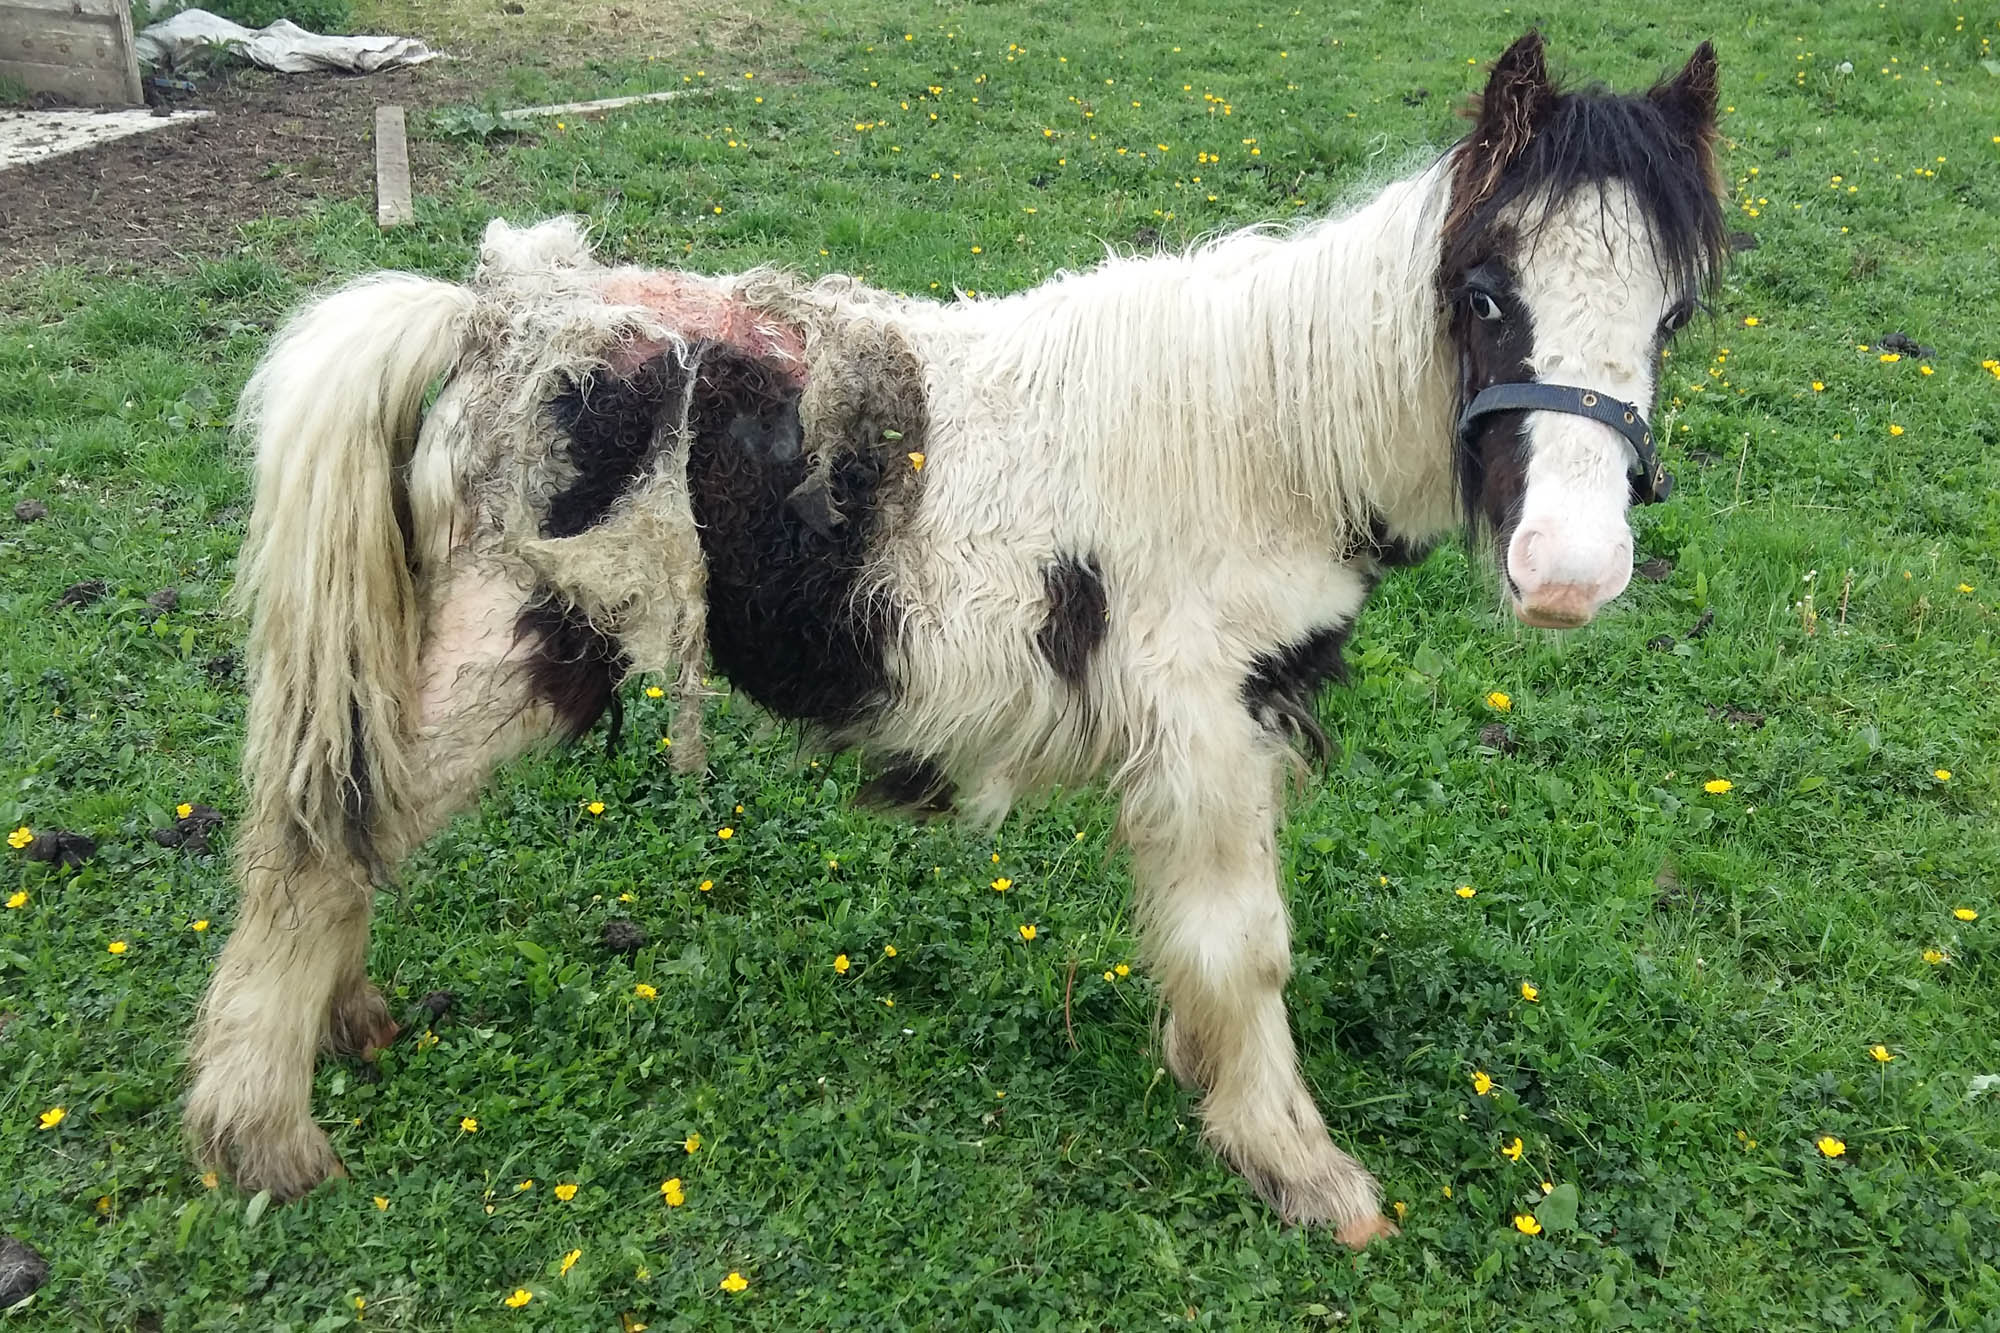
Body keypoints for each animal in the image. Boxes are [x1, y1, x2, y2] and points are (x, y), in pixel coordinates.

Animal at [184, 33, 1720, 1248]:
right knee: (310, 837)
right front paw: (1300, 1167)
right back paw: (262, 1136)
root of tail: (489, 313)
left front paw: (1205, 1072)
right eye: (1483, 294)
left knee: (353, 815)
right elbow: (1248, 945)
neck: (1261, 431)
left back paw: (347, 1025)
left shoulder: (1240, 720)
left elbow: (1204, 933)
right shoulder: (1203, 721)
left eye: (1673, 312)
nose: (1571, 575)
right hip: (518, 648)